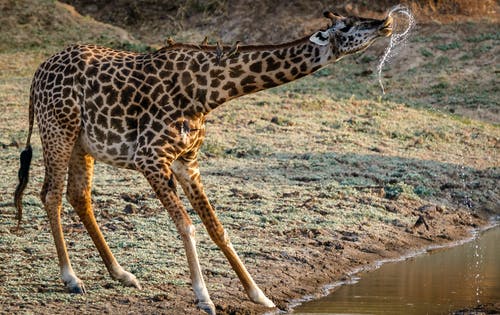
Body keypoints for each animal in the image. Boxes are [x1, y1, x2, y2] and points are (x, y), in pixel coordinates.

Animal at [13, 10, 392, 315]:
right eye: (347, 25)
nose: (385, 23)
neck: (208, 92)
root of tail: (36, 75)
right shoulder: (150, 157)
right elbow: (187, 225)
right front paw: (204, 299)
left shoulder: (187, 161)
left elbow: (216, 227)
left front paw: (259, 295)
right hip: (58, 129)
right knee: (51, 194)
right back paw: (71, 278)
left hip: (82, 142)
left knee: (79, 196)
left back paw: (122, 274)